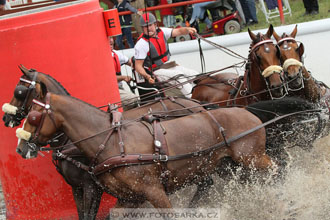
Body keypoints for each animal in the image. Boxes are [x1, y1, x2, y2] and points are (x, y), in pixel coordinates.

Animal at [1, 65, 209, 220]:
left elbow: (89, 215)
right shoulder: (76, 187)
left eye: (19, 91)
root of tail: (197, 105)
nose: (6, 118)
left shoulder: (90, 186)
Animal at [15, 91, 274, 213]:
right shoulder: (130, 197)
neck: (111, 141)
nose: (21, 148)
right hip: (229, 166)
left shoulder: (154, 191)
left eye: (34, 116)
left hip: (252, 158)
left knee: (274, 169)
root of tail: (248, 112)